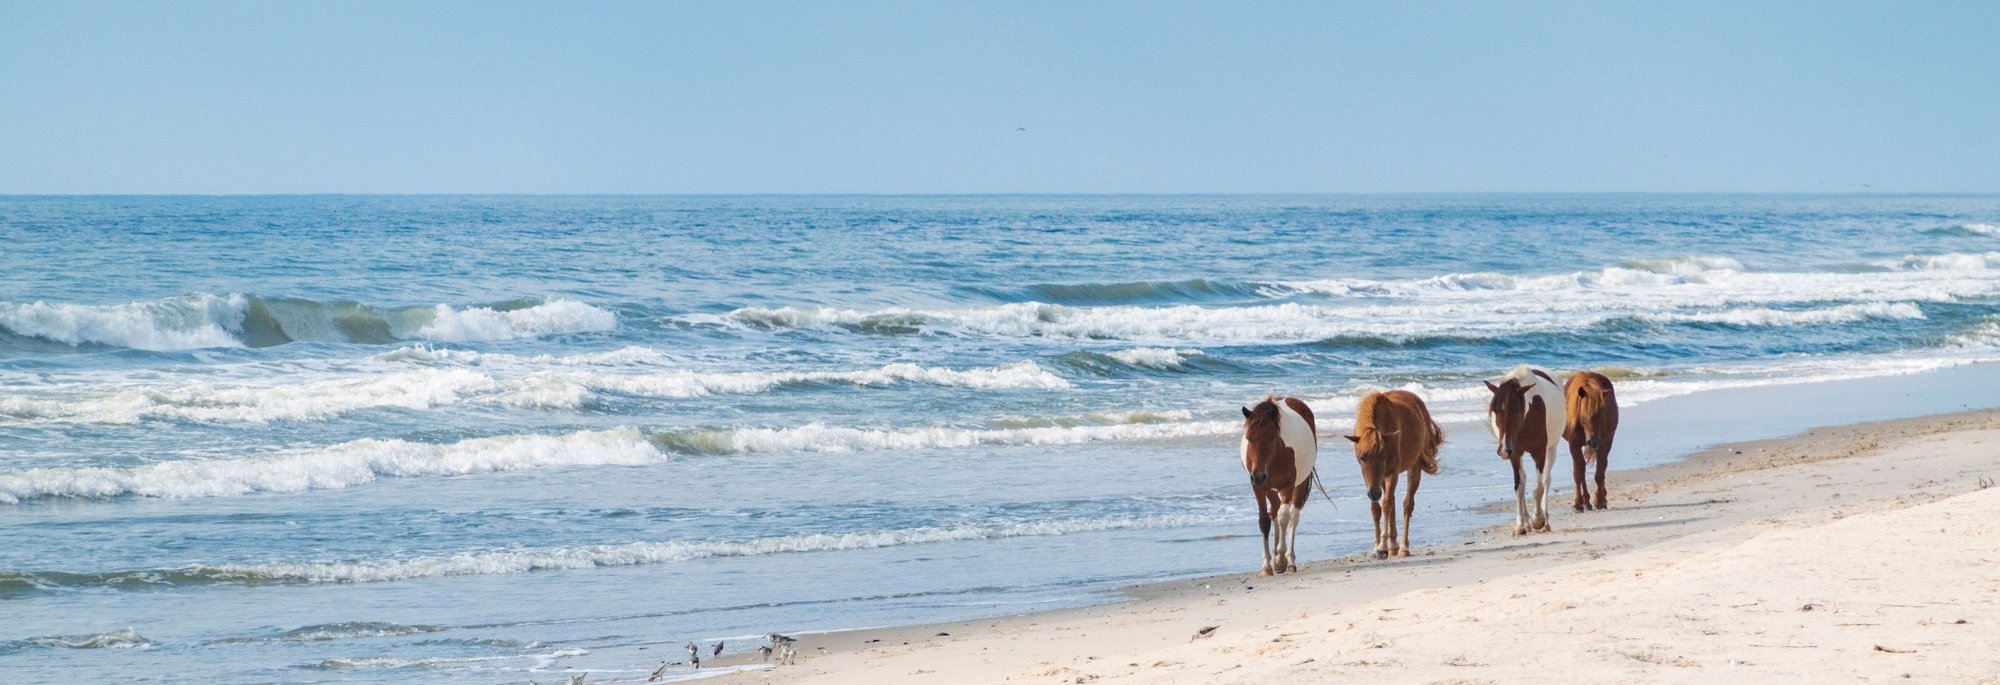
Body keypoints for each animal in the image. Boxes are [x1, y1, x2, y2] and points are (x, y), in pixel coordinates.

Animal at [1232, 392, 1312, 576]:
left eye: (1271, 438)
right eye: (1249, 438)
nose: (1258, 475)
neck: (1276, 455)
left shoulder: (1288, 484)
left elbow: (1284, 517)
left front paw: (1281, 559)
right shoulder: (1258, 487)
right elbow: (1264, 520)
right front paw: (1267, 565)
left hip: (1299, 484)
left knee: (1292, 517)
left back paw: (1289, 560)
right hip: (1269, 488)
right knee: (1274, 510)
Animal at [1344, 390, 1440, 556]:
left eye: (1383, 455)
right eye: (1362, 457)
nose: (1374, 493)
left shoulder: (1392, 473)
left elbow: (1387, 505)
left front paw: (1382, 545)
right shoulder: (1371, 480)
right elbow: (1376, 509)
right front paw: (1377, 547)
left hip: (1414, 467)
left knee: (1407, 504)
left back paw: (1403, 547)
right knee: (1392, 503)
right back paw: (1393, 546)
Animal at [1480, 364, 1568, 536]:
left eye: (1515, 410)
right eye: (1495, 410)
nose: (1503, 450)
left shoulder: (1539, 452)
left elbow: (1539, 488)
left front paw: (1538, 520)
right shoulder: (1515, 453)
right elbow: (1519, 486)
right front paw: (1521, 525)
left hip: (1551, 448)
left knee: (1546, 480)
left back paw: (1545, 521)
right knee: (1525, 479)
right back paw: (1527, 522)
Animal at [1568, 372, 1616, 510]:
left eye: (1602, 413)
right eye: (1582, 415)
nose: (1593, 442)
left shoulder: (1603, 443)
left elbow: (1599, 473)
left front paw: (1600, 500)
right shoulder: (1573, 444)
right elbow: (1578, 473)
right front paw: (1578, 503)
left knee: (1603, 465)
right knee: (1581, 468)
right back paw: (1585, 502)